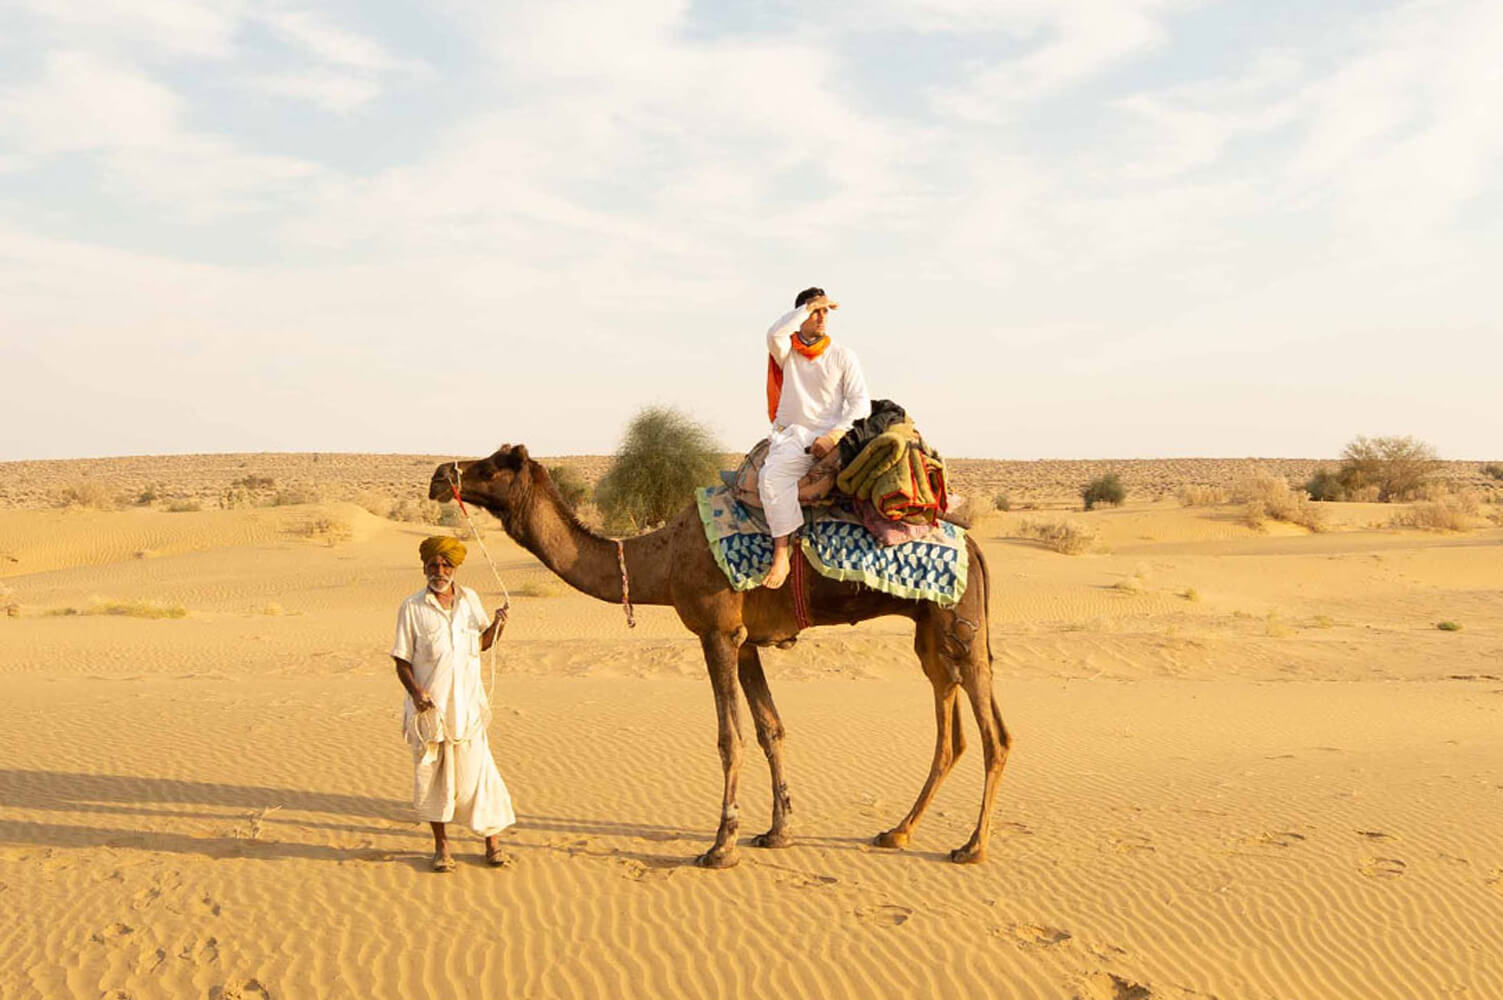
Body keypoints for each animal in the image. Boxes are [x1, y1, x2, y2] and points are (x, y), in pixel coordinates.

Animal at [432, 445, 1010, 866]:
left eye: (491, 466)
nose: (440, 473)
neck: (661, 560)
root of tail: (976, 546)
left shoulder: (717, 632)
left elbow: (730, 738)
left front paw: (721, 846)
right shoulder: (747, 640)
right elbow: (771, 729)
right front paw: (776, 833)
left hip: (959, 628)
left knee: (994, 736)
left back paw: (972, 847)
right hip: (933, 636)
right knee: (951, 733)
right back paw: (897, 832)